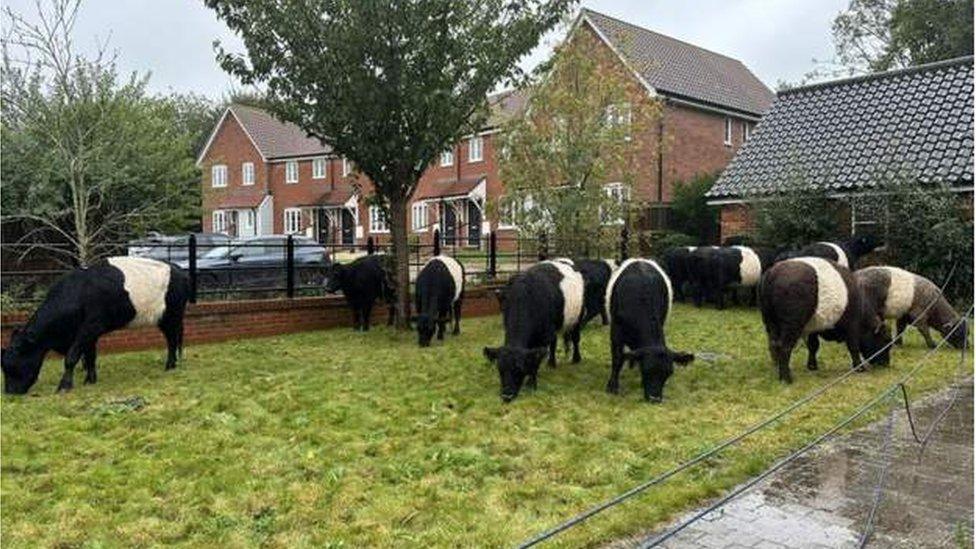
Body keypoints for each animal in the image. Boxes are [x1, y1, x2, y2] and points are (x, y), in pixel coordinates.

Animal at [1, 256, 191, 394]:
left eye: (12, 365)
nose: (10, 392)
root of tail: (178, 270)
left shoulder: (90, 327)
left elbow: (72, 357)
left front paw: (64, 386)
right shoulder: (89, 332)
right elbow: (90, 355)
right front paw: (90, 380)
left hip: (172, 315)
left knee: (172, 340)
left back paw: (170, 365)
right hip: (163, 319)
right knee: (171, 339)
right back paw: (172, 364)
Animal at [484, 260, 584, 400]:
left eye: (519, 369)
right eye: (500, 370)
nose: (507, 395)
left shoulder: (542, 338)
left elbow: (535, 360)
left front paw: (531, 383)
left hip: (577, 317)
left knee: (575, 338)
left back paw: (576, 358)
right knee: (554, 343)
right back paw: (551, 363)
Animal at [604, 256, 692, 402]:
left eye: (668, 374)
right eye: (646, 370)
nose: (654, 398)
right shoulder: (616, 331)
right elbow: (617, 358)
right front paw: (612, 386)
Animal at [764, 256, 892, 382]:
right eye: (885, 340)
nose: (885, 364)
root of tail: (773, 273)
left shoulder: (814, 329)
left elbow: (813, 346)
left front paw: (812, 366)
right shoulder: (852, 326)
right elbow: (853, 346)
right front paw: (859, 367)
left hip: (771, 323)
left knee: (774, 345)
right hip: (792, 326)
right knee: (784, 347)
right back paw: (787, 378)